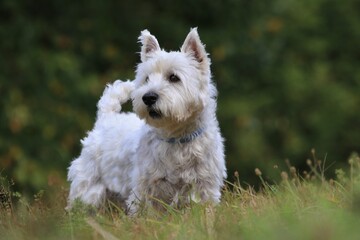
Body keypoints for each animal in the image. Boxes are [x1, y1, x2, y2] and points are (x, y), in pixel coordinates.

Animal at [66, 28, 226, 214]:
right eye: (147, 78)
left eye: (174, 77)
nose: (148, 97)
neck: (177, 137)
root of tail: (105, 118)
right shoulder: (146, 187)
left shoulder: (204, 186)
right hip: (89, 185)